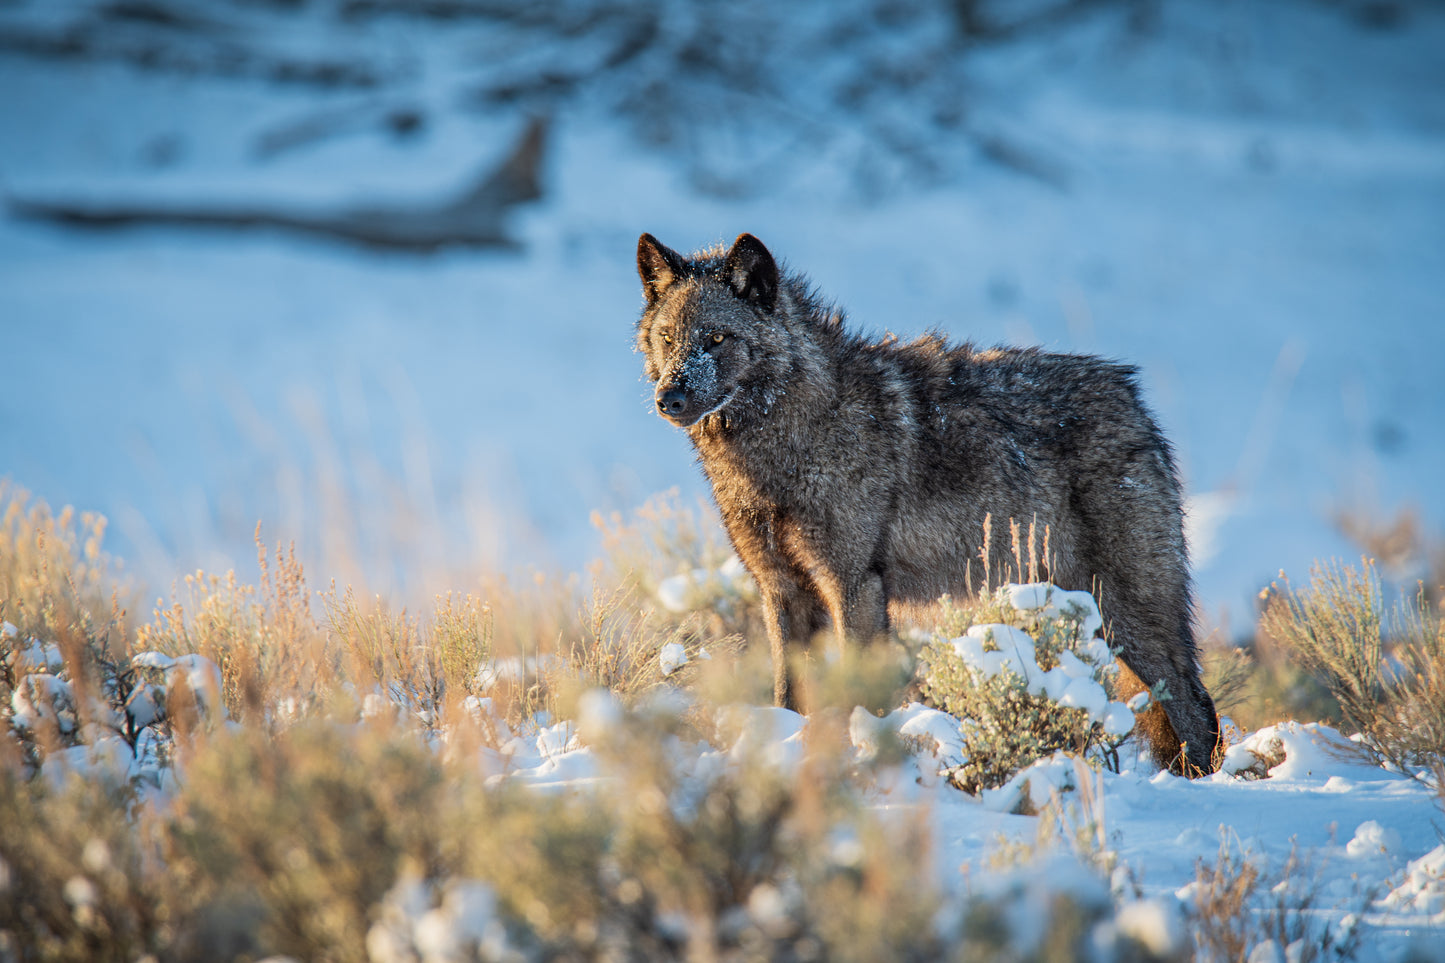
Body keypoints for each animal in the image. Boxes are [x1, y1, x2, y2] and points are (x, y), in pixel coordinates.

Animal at [635, 232, 1221, 776]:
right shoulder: (782, 591)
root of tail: (1134, 399)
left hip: (1129, 616)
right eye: (668, 339)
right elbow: (787, 698)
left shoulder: (854, 586)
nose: (669, 399)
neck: (788, 439)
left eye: (716, 338)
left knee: (1197, 707)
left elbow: (857, 694)